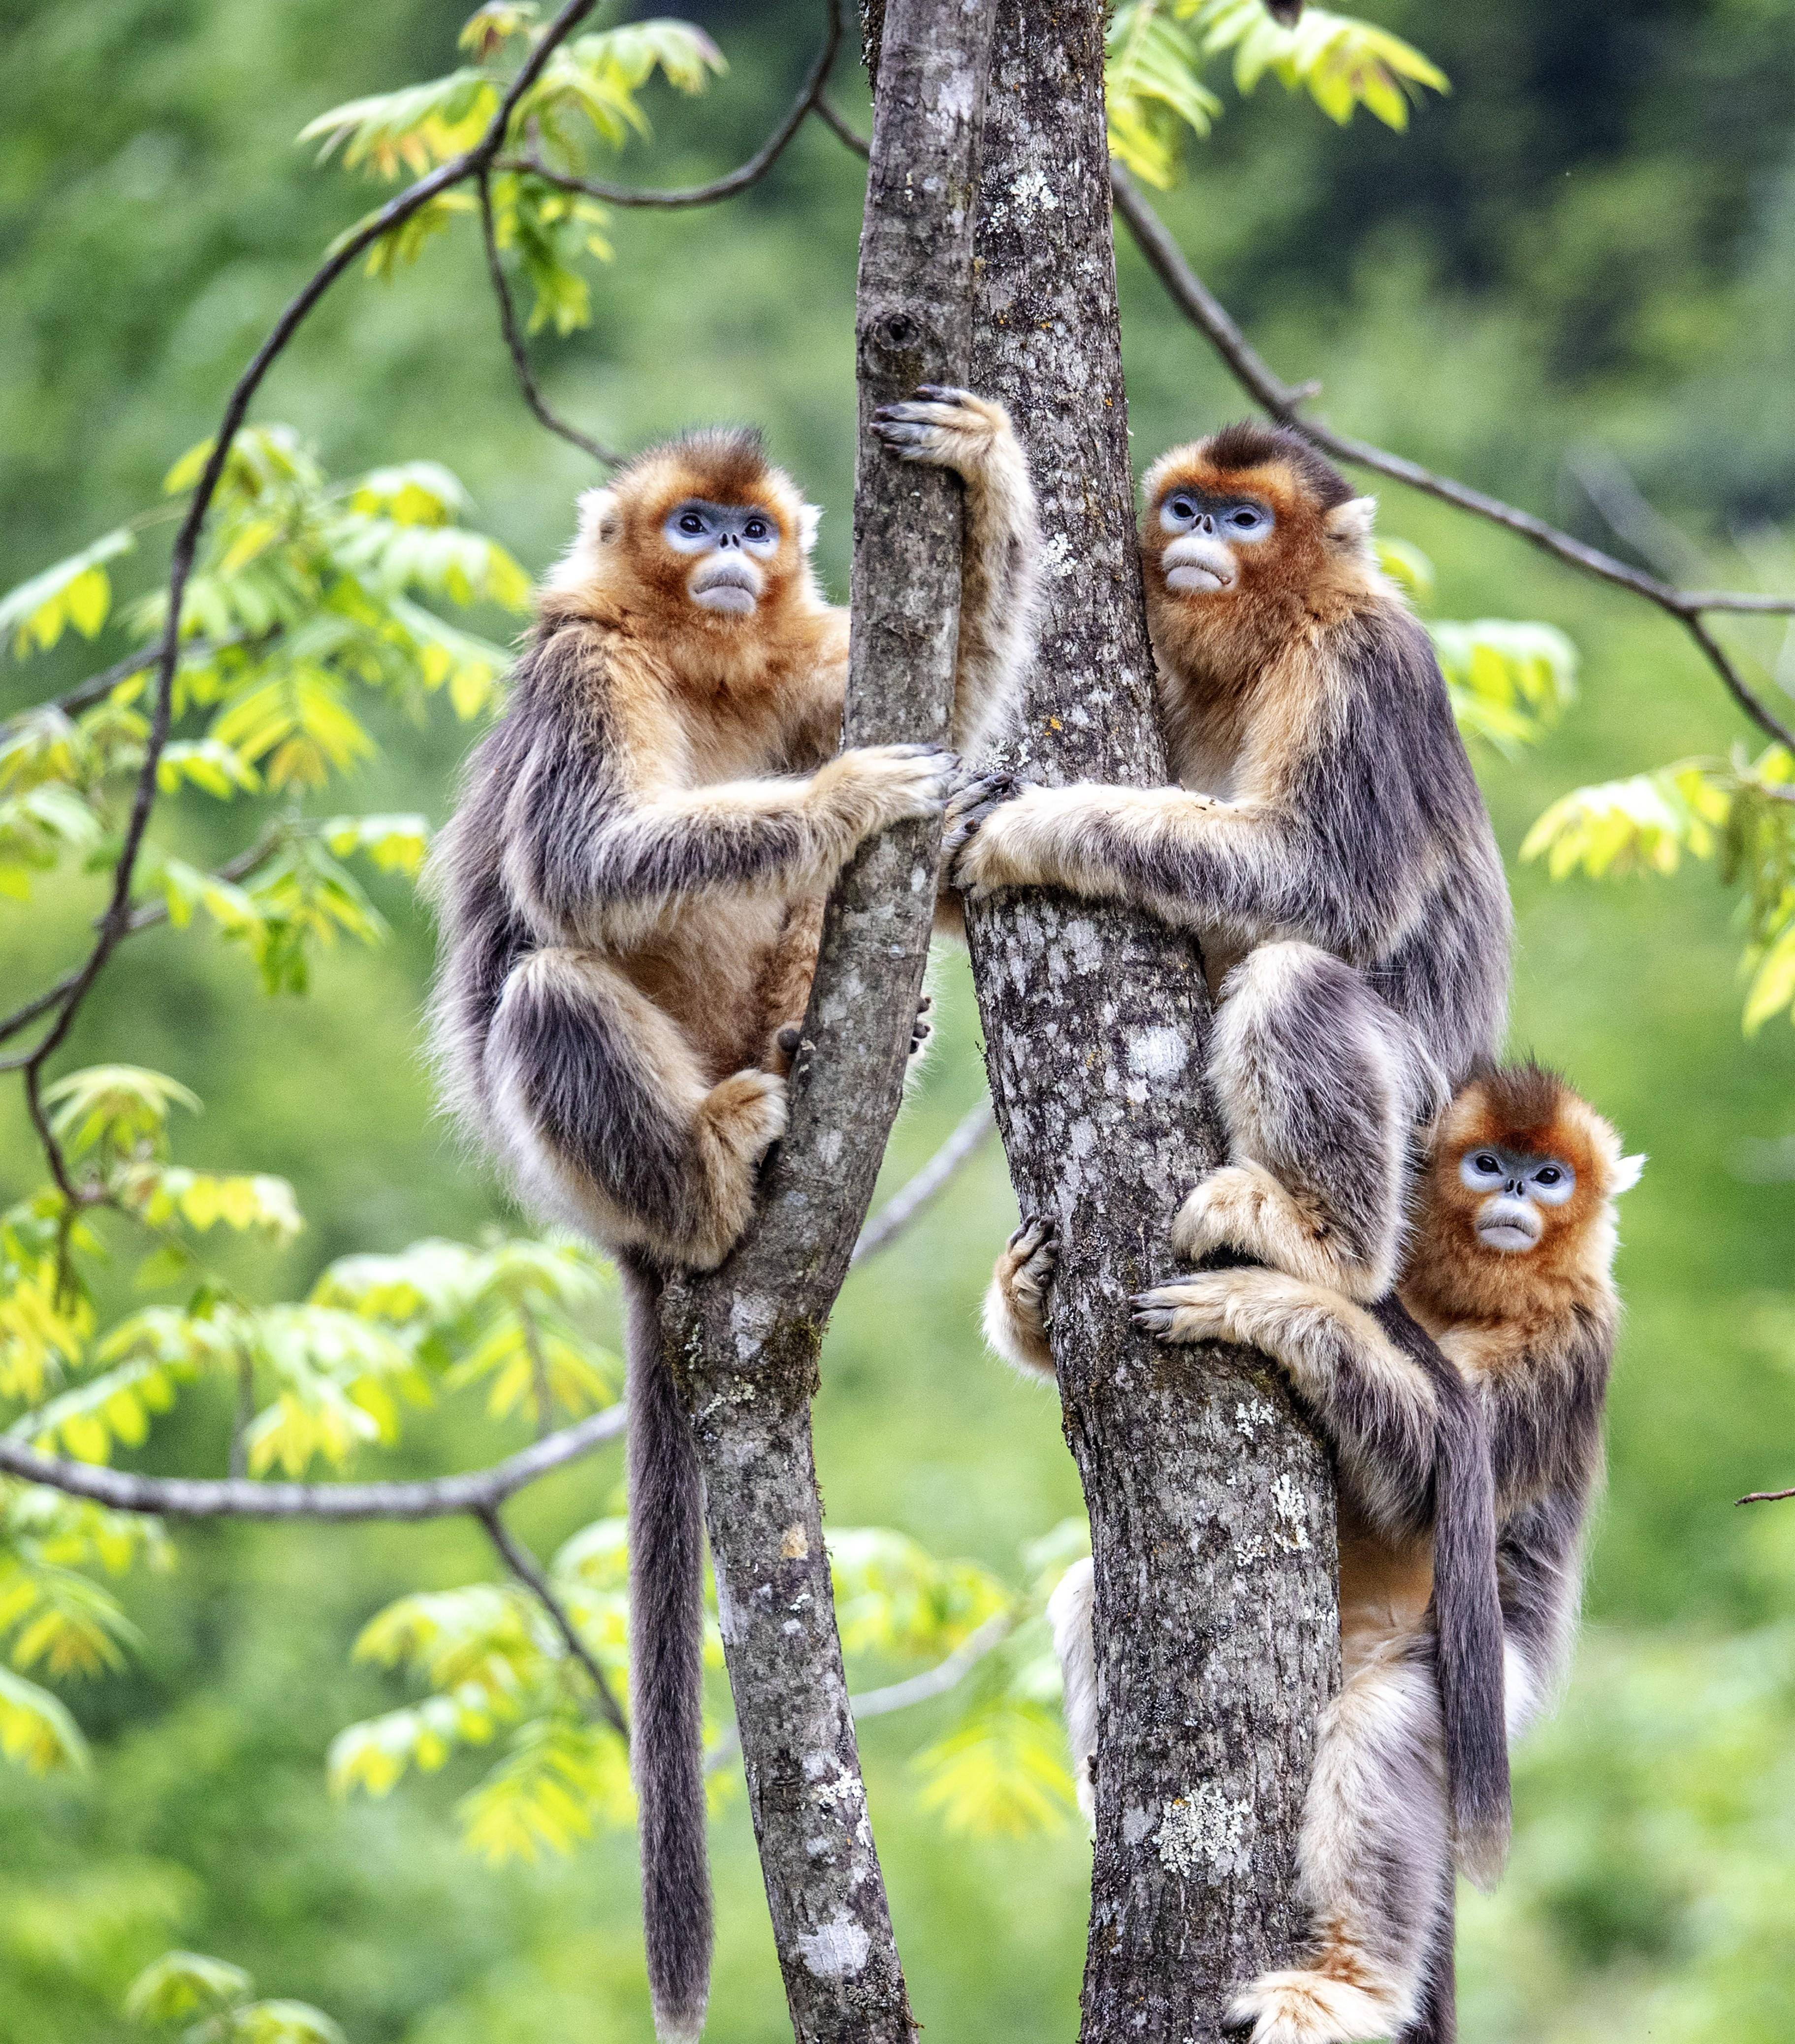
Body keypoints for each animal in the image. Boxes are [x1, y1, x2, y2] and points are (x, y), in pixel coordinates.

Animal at [431, 394, 1038, 2044]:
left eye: (751, 529)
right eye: (690, 524)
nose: (727, 556)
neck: (700, 655)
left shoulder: (821, 653)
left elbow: (968, 739)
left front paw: (988, 470)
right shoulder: (580, 669)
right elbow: (580, 864)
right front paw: (840, 800)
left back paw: (817, 1042)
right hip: (600, 1152)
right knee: (551, 983)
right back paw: (711, 1180)